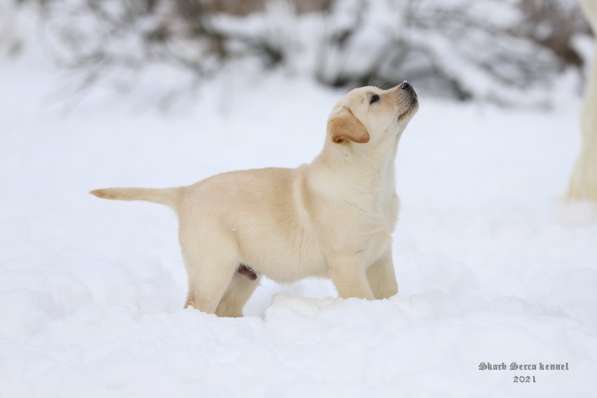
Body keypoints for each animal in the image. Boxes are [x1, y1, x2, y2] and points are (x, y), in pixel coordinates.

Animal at [92, 81, 420, 318]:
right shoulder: (348, 262)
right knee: (196, 305)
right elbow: (363, 297)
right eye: (374, 99)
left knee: (224, 309)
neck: (373, 174)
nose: (407, 83)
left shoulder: (380, 255)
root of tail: (185, 191)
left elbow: (389, 291)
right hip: (213, 268)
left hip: (242, 275)